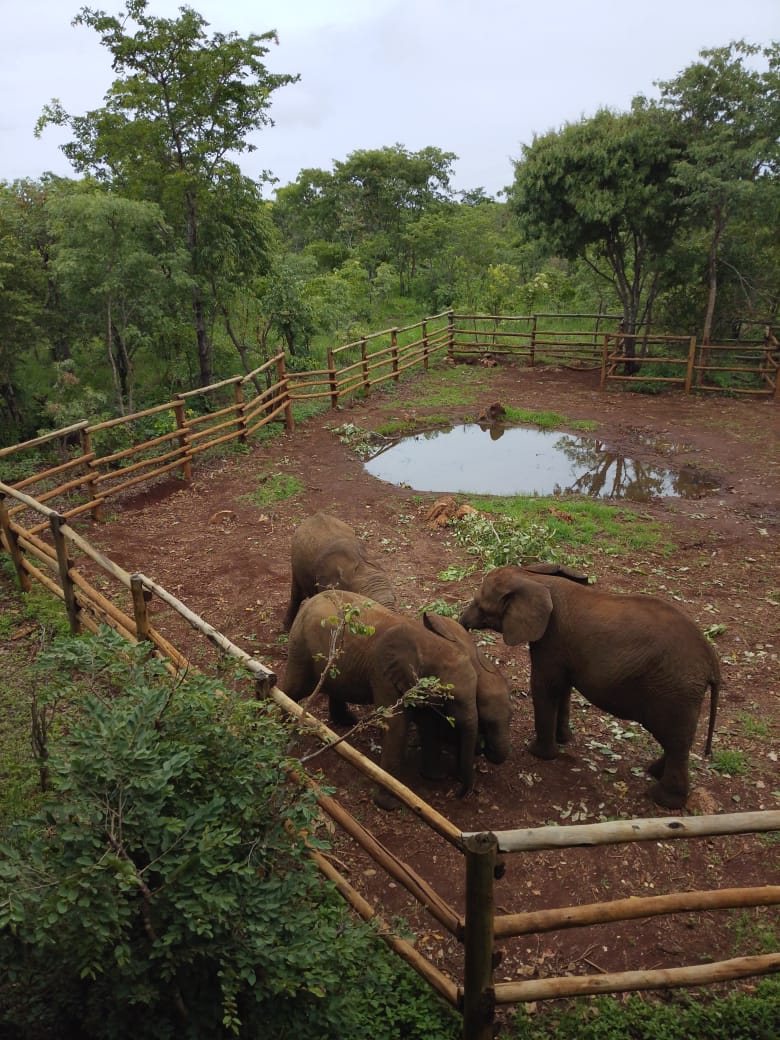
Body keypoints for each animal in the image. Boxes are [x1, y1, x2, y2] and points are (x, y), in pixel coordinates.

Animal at [283, 590, 511, 809]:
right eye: (452, 699)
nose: (458, 793)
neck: (429, 644)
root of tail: (311, 600)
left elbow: (428, 722)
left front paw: (434, 777)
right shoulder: (384, 674)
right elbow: (395, 726)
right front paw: (389, 805)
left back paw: (345, 722)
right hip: (301, 645)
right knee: (293, 689)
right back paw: (281, 731)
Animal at [459, 565, 720, 809]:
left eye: (481, 605)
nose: (462, 624)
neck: (532, 577)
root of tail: (712, 661)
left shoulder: (551, 639)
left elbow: (544, 686)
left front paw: (537, 752)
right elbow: (563, 688)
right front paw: (564, 740)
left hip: (674, 690)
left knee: (675, 741)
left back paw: (661, 798)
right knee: (677, 740)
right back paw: (653, 772)